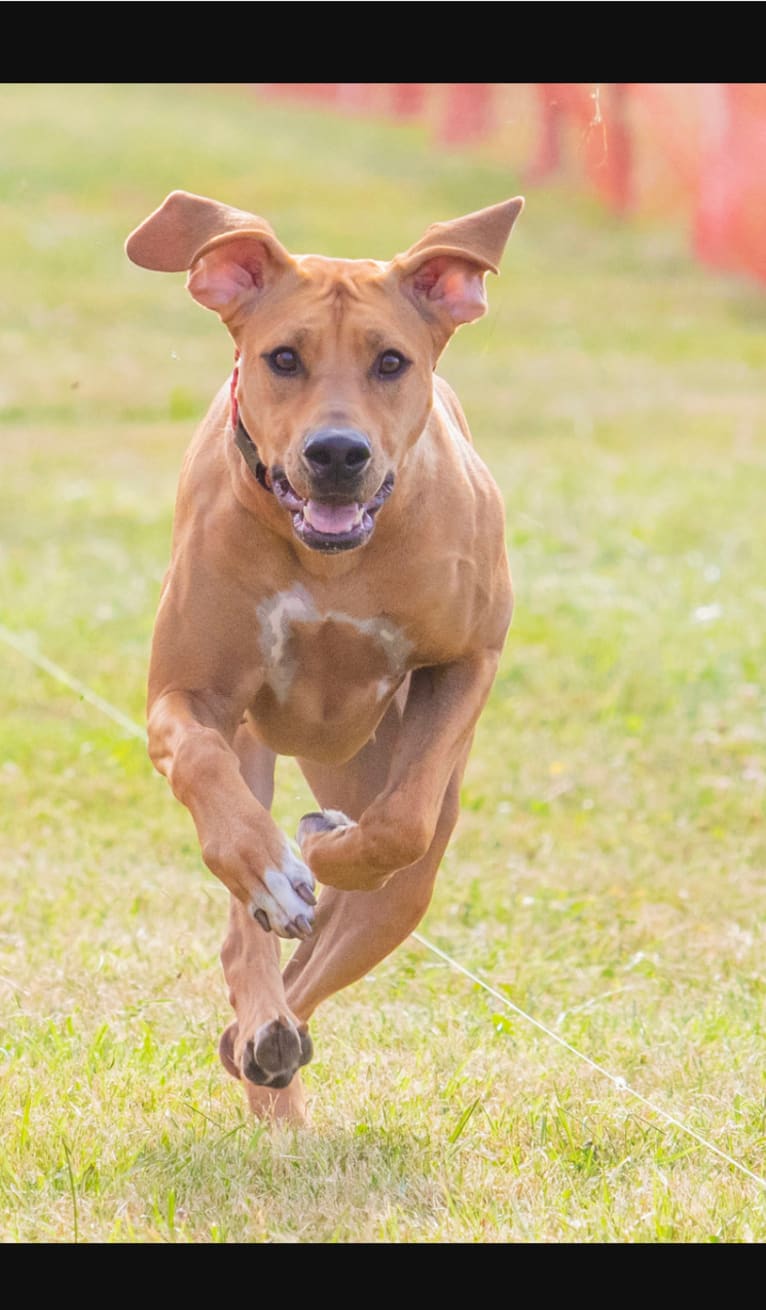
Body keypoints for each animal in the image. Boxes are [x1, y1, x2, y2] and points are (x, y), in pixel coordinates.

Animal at [125, 189, 523, 1121]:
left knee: (364, 908)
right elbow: (204, 770)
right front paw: (275, 868)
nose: (336, 452)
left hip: (404, 872)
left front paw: (322, 847)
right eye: (282, 358)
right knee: (246, 931)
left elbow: (400, 824)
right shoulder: (184, 693)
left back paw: (271, 1039)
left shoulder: (472, 655)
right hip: (256, 747)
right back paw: (265, 1021)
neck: (333, 558)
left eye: (390, 362)